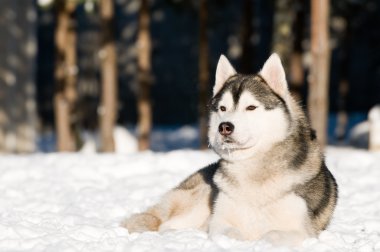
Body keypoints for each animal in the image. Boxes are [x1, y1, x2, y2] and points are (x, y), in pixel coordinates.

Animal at [122, 53, 338, 246]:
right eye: (223, 109)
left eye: (251, 107)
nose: (224, 127)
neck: (252, 170)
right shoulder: (220, 221)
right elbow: (227, 232)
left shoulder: (301, 231)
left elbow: (272, 235)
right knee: (165, 225)